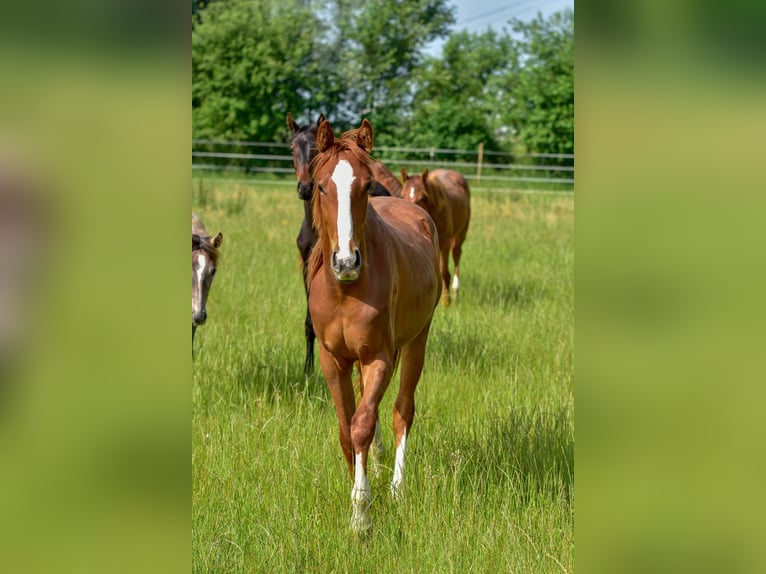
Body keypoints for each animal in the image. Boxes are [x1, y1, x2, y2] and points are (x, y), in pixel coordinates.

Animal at [287, 113, 396, 375]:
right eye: (292, 148)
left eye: (314, 148)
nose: (304, 187)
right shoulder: (307, 269)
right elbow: (310, 323)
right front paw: (308, 369)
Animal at [307, 119, 441, 533]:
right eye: (321, 185)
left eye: (366, 186)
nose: (346, 261)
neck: (346, 291)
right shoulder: (333, 361)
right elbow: (346, 432)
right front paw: (359, 486)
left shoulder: (378, 357)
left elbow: (362, 425)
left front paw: (361, 514)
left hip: (416, 341)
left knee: (401, 410)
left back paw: (397, 487)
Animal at [400, 168, 471, 306]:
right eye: (402, 195)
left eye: (423, 197)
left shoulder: (444, 244)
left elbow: (444, 273)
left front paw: (446, 303)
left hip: (461, 234)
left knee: (456, 254)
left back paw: (455, 290)